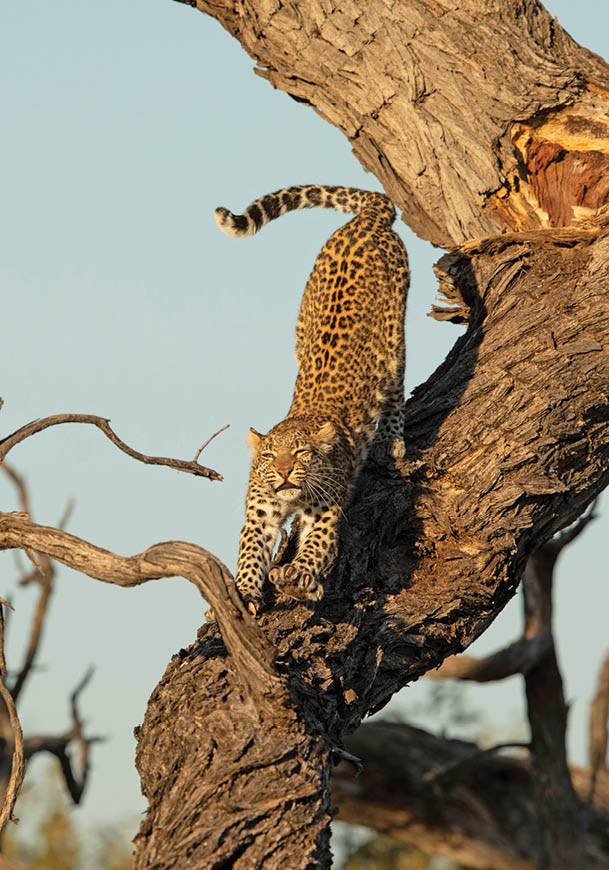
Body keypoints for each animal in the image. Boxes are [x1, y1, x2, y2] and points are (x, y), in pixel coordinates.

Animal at [215, 185, 410, 616]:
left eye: (302, 453)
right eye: (270, 457)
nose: (285, 472)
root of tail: (365, 219)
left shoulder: (326, 507)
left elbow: (317, 545)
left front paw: (301, 576)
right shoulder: (260, 515)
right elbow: (249, 553)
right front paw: (247, 592)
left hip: (394, 336)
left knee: (395, 387)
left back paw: (391, 439)